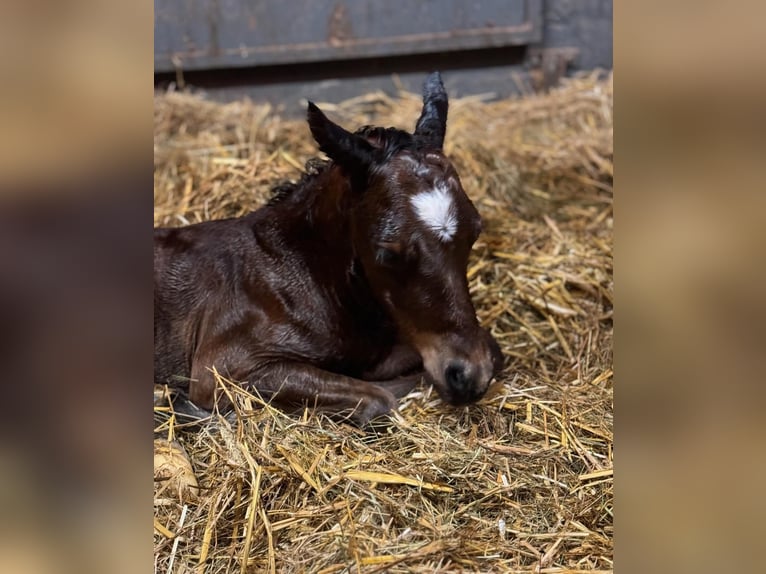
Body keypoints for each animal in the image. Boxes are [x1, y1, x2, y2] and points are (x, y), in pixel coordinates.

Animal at [154, 72, 503, 426]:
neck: (299, 271)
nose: (469, 376)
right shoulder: (221, 370)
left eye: (475, 231)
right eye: (388, 253)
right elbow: (379, 398)